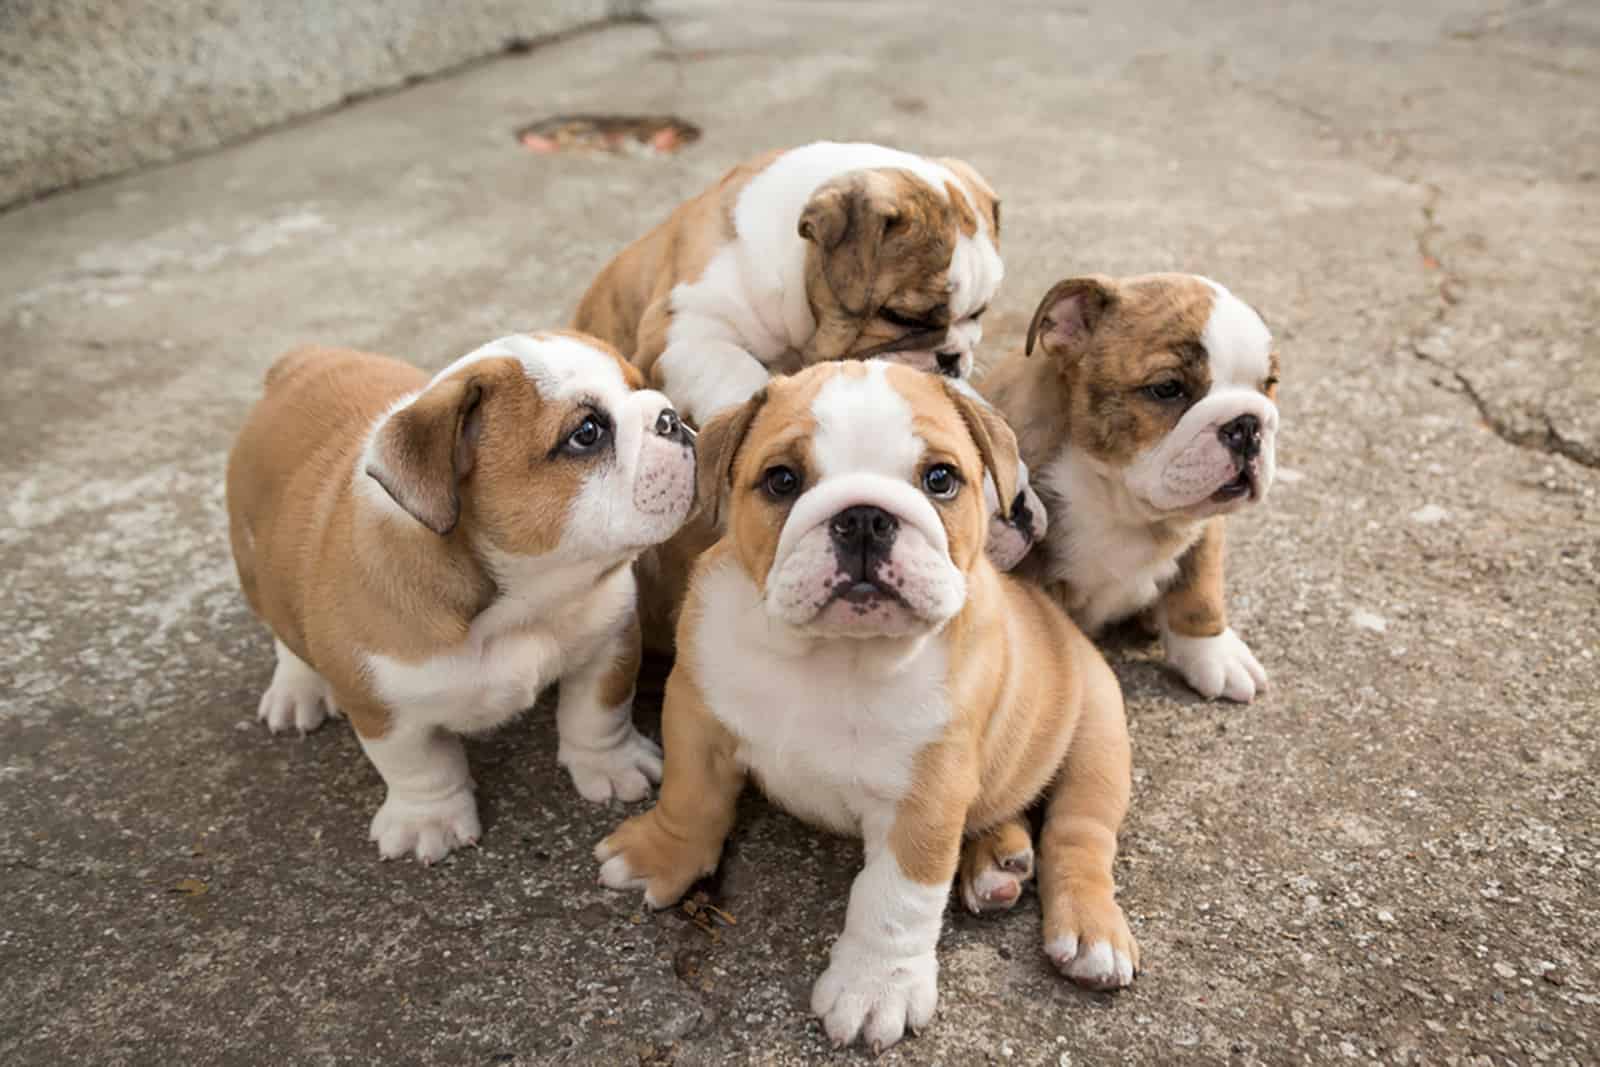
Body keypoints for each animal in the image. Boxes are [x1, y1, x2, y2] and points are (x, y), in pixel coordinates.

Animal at [227, 335, 694, 870]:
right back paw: (296, 689)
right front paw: (428, 821)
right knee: (284, 634)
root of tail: (300, 362)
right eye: (587, 433)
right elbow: (420, 766)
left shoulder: (608, 641)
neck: (521, 603)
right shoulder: (382, 705)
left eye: (643, 386)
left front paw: (611, 764)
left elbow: (599, 711)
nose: (670, 418)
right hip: (255, 568)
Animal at [598, 363, 1139, 1055]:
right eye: (782, 480)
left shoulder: (927, 796)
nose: (863, 518)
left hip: (1097, 737)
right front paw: (661, 857)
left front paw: (875, 988)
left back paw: (1089, 930)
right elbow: (690, 799)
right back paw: (998, 862)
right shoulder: (698, 716)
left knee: (1080, 835)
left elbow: (895, 899)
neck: (831, 655)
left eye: (940, 479)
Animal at [979, 275, 1280, 703]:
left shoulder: (1205, 527)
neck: (1118, 500)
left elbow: (1200, 587)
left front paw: (1215, 655)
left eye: (1269, 384)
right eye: (1167, 388)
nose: (1247, 425)